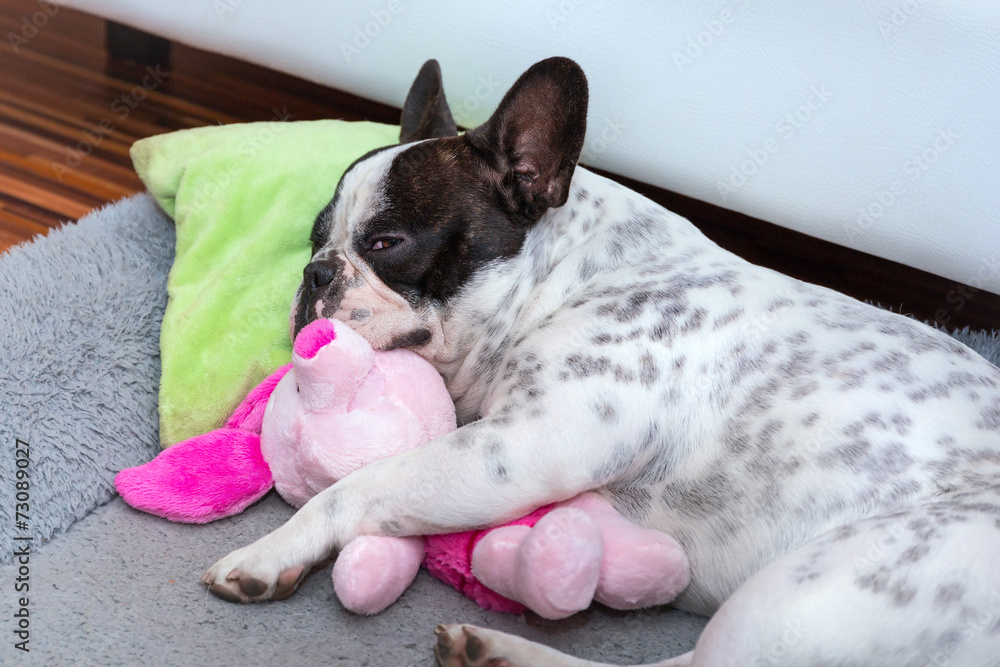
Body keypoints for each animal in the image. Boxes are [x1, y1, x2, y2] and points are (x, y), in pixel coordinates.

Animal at [201, 58, 1000, 667]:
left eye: (388, 243)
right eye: (315, 237)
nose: (314, 274)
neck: (566, 278)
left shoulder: (515, 451)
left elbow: (360, 484)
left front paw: (270, 550)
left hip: (797, 598)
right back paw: (498, 648)